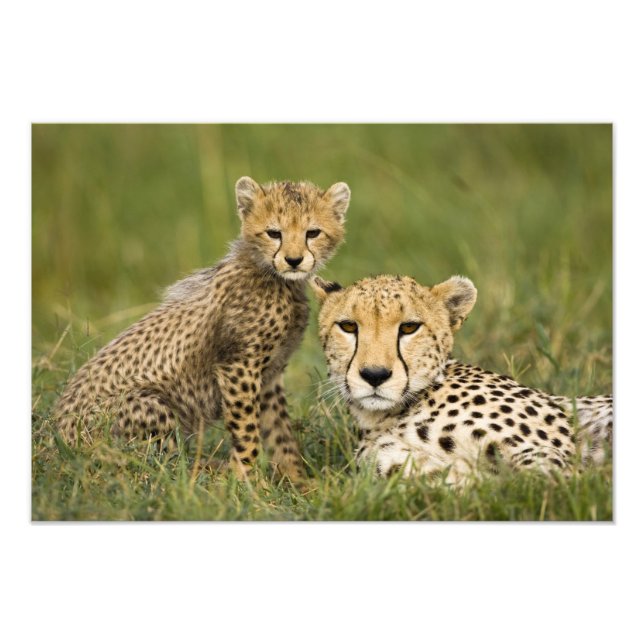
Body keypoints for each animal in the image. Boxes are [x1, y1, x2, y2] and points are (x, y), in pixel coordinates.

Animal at [53, 176, 351, 483]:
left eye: (312, 232)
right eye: (273, 233)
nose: (293, 260)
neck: (274, 278)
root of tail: (55, 438)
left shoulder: (270, 374)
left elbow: (280, 433)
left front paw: (297, 481)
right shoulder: (238, 366)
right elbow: (247, 431)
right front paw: (249, 483)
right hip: (148, 404)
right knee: (160, 468)